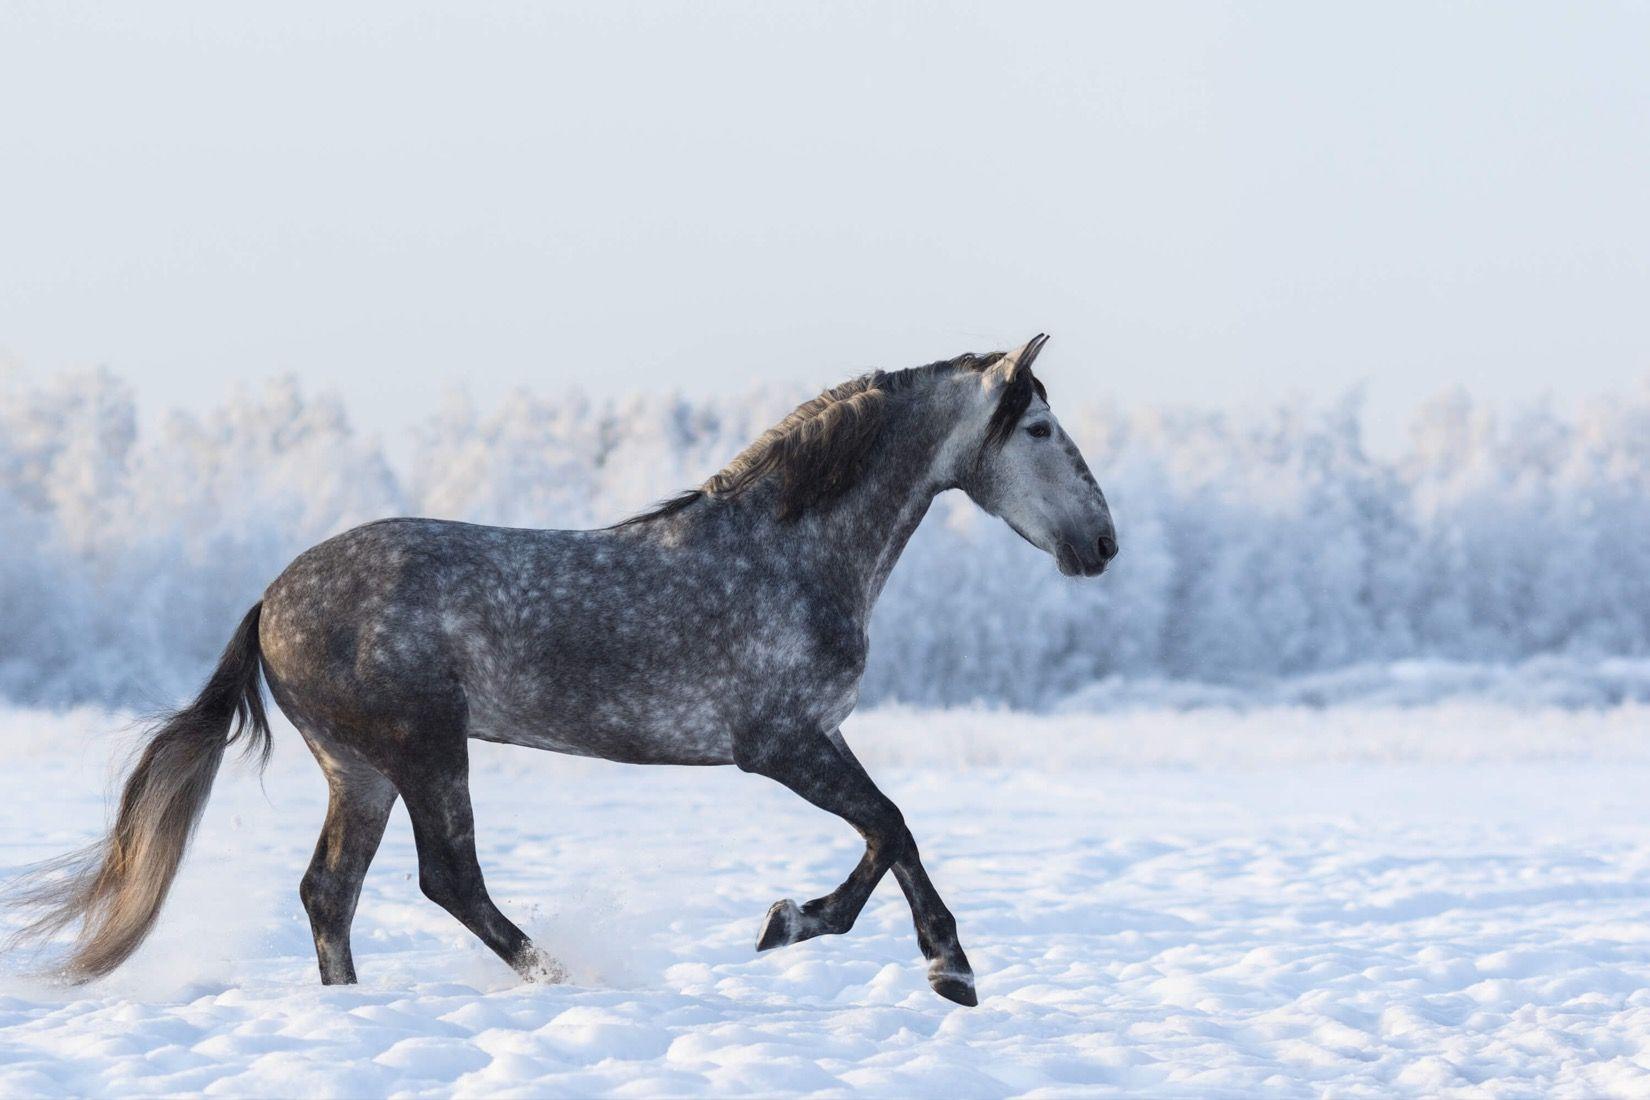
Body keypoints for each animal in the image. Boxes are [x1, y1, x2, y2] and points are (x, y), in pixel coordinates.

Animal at [6, 334, 1116, 1006]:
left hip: (358, 766)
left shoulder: (815, 736)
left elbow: (889, 832)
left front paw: (833, 931)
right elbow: (891, 826)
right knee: (446, 876)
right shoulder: (779, 742)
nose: (1101, 545)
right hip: (423, 745)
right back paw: (564, 974)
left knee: (331, 891)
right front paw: (922, 959)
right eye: (1039, 428)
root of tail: (271, 599)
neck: (791, 551)